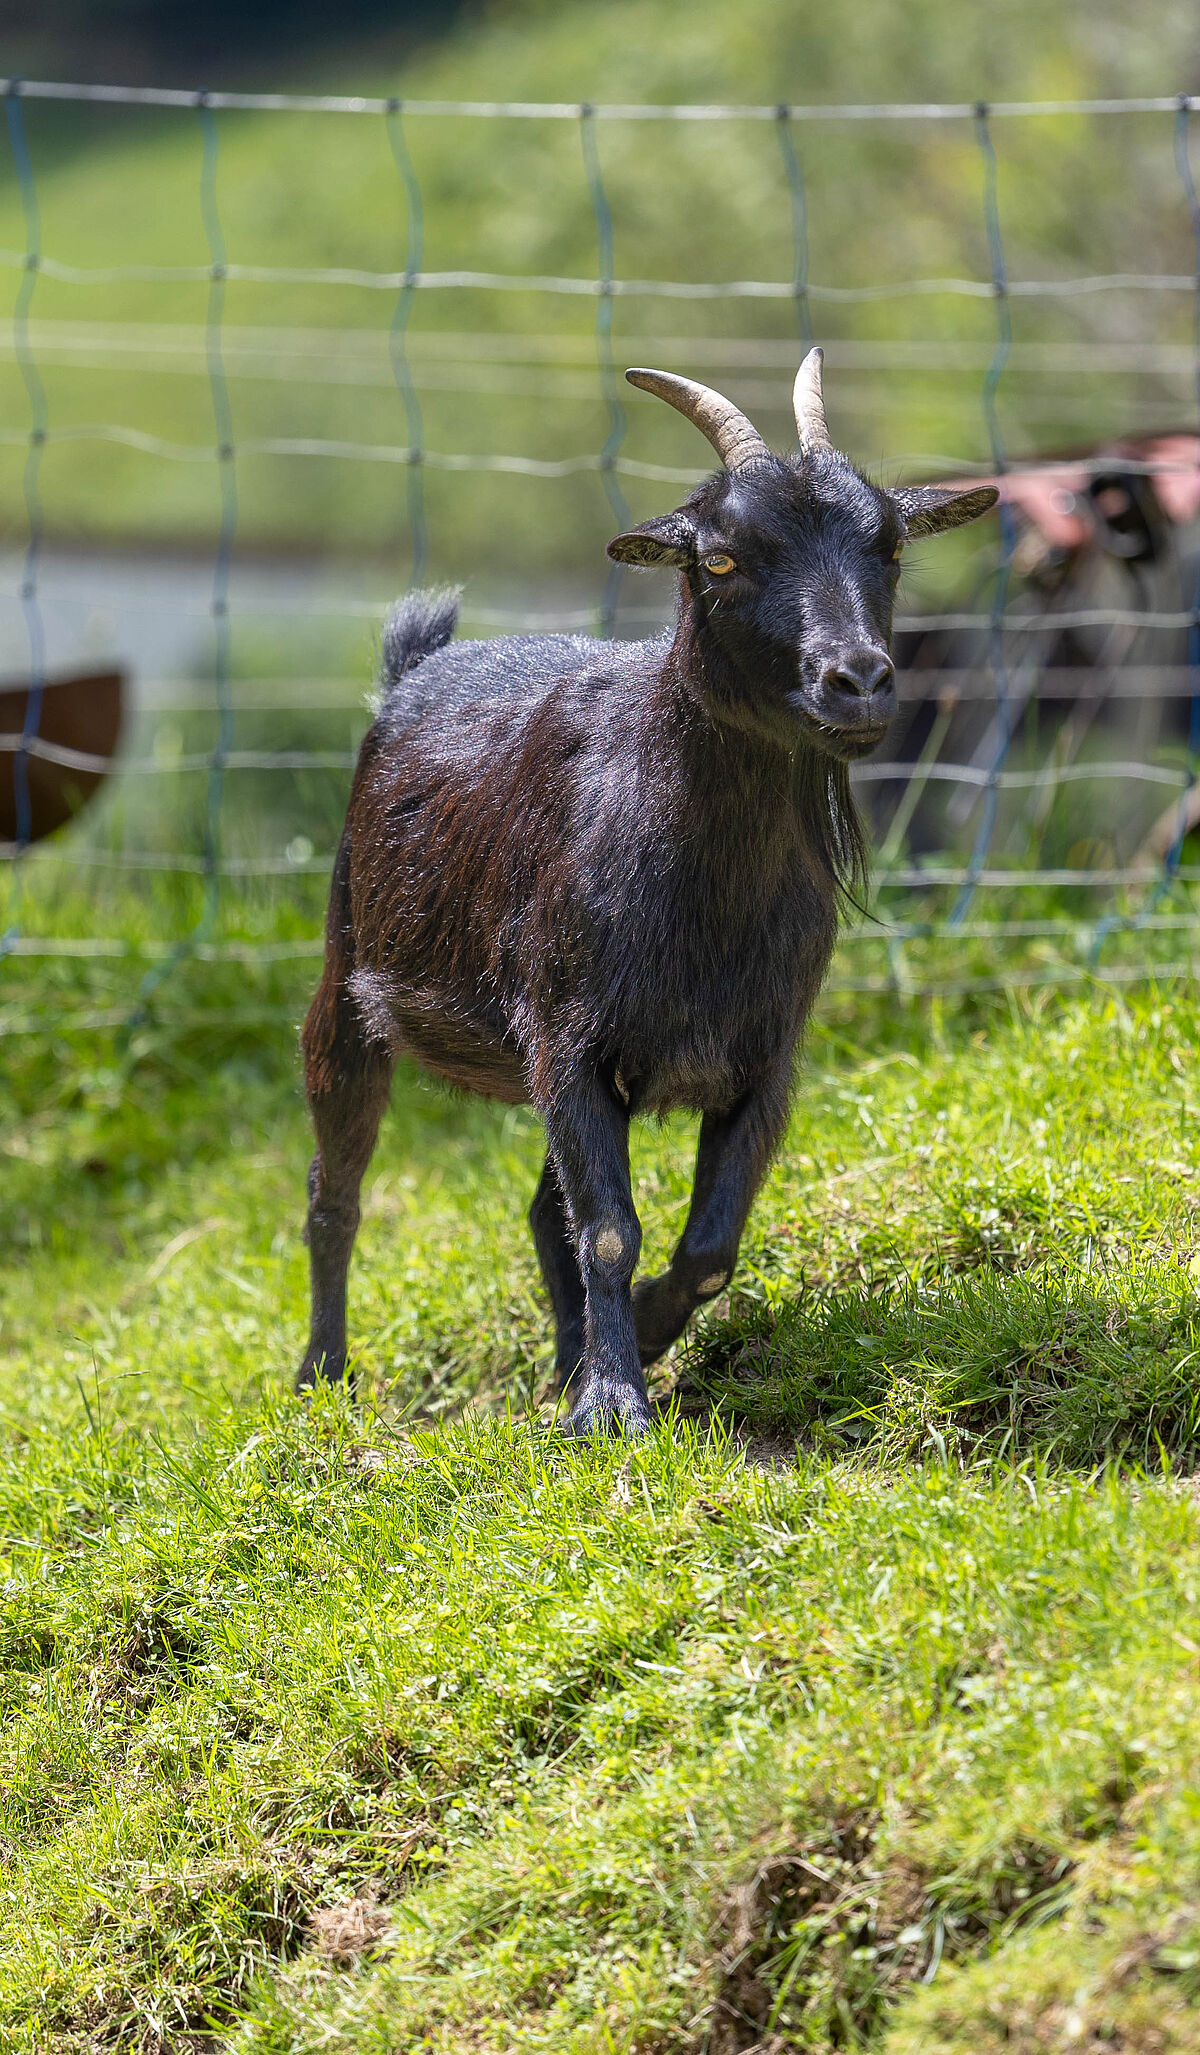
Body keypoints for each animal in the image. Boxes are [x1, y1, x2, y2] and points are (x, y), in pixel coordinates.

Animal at [300, 353, 994, 1430]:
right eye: (721, 560)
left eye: (888, 546)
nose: (858, 681)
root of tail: (414, 666)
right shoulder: (568, 1038)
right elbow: (610, 1231)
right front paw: (612, 1404)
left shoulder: (762, 1057)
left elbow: (704, 1246)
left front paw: (635, 1348)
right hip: (347, 981)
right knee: (335, 1191)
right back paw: (323, 1378)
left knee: (540, 1211)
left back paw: (565, 1356)